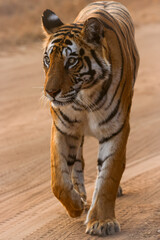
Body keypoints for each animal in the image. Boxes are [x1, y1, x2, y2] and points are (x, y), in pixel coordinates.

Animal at [42, 0, 139, 236]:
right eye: (48, 60)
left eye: (71, 61)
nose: (50, 92)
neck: (84, 97)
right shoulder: (63, 128)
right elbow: (58, 180)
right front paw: (75, 206)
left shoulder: (116, 129)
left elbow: (108, 177)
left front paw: (102, 222)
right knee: (77, 162)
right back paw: (81, 197)